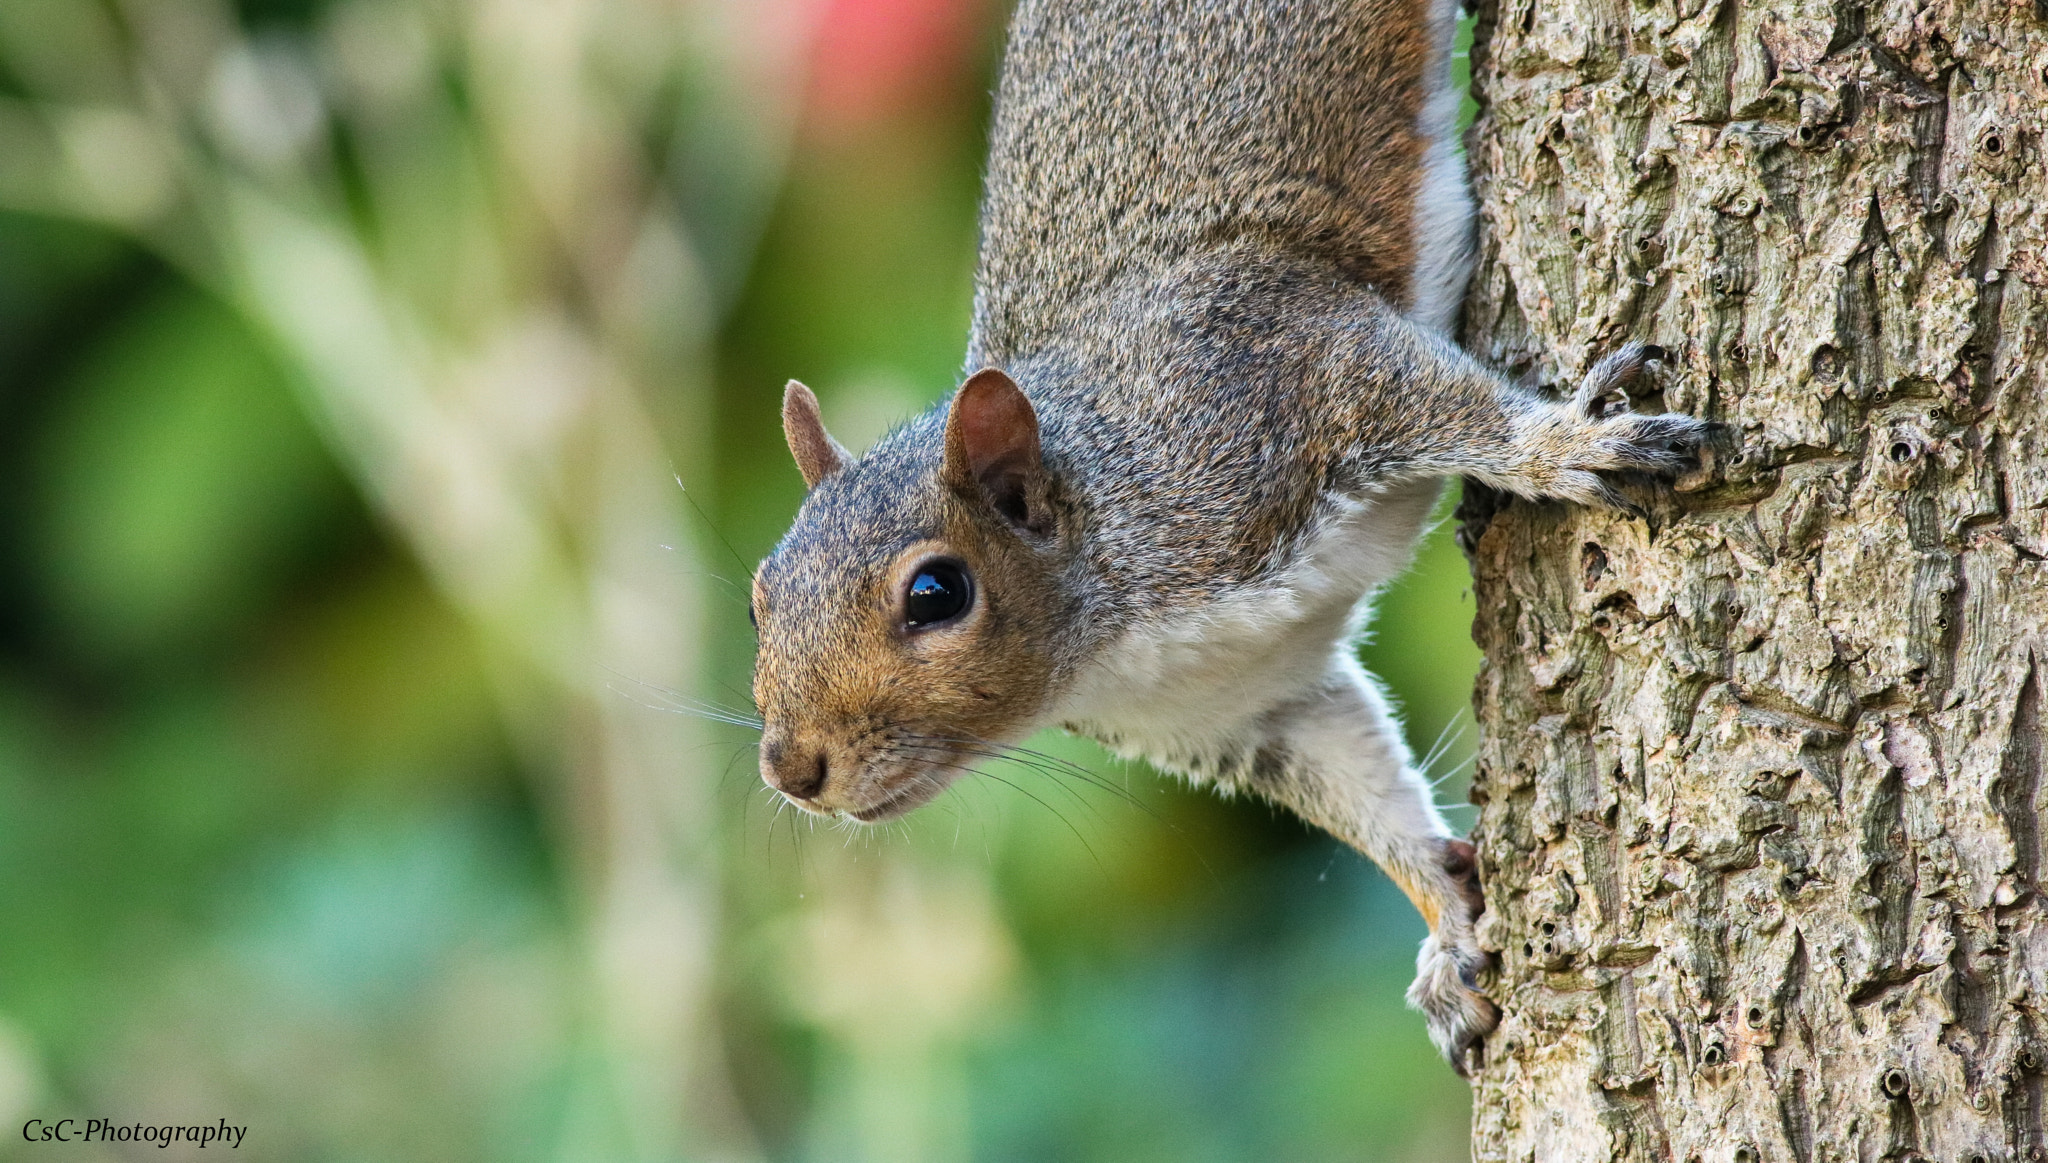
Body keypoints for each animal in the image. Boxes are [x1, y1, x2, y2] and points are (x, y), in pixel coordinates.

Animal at [745, 0, 1703, 1072]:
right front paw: (1449, 930)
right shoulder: (1254, 703)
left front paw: (1569, 443)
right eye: (759, 595)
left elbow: (1458, 407)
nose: (791, 769)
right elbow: (1365, 796)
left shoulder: (1282, 365)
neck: (1116, 638)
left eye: (936, 594)